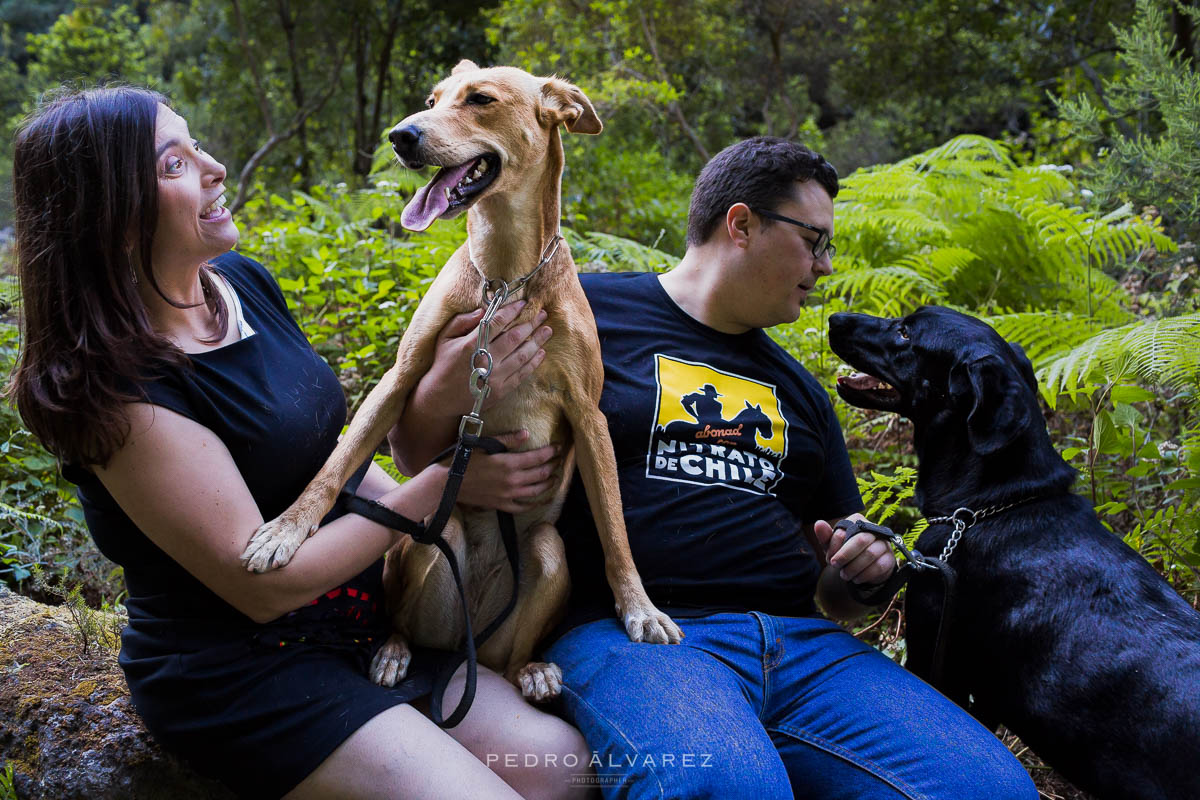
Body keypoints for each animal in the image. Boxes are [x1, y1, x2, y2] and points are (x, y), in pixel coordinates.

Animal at [241, 61, 686, 700]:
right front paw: (284, 530)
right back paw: (395, 651)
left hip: (545, 556)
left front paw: (639, 608)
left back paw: (531, 668)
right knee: (406, 615)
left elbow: (615, 529)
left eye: (480, 100)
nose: (400, 136)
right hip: (434, 534)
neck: (504, 277)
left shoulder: (588, 413)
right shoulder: (399, 379)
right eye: (432, 101)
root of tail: (468, 634)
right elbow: (333, 468)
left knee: (513, 644)